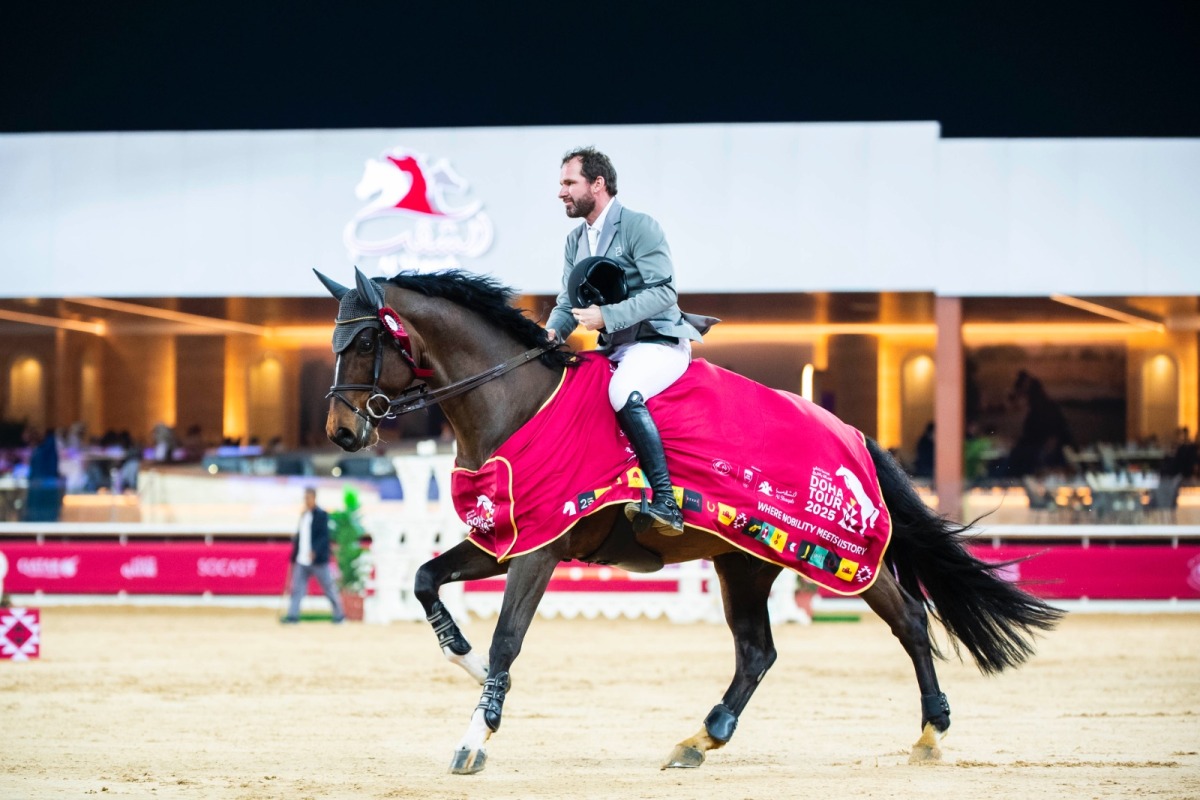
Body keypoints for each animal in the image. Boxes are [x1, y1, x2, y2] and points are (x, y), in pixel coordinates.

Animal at [316, 267, 1060, 777]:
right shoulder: (503, 538)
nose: (342, 433)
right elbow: (423, 579)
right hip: (746, 561)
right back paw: (703, 736)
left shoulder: (540, 548)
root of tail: (850, 432)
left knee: (907, 617)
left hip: (840, 556)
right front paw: (468, 668)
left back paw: (932, 730)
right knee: (757, 650)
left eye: (365, 341)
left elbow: (508, 639)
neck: (517, 401)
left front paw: (477, 735)